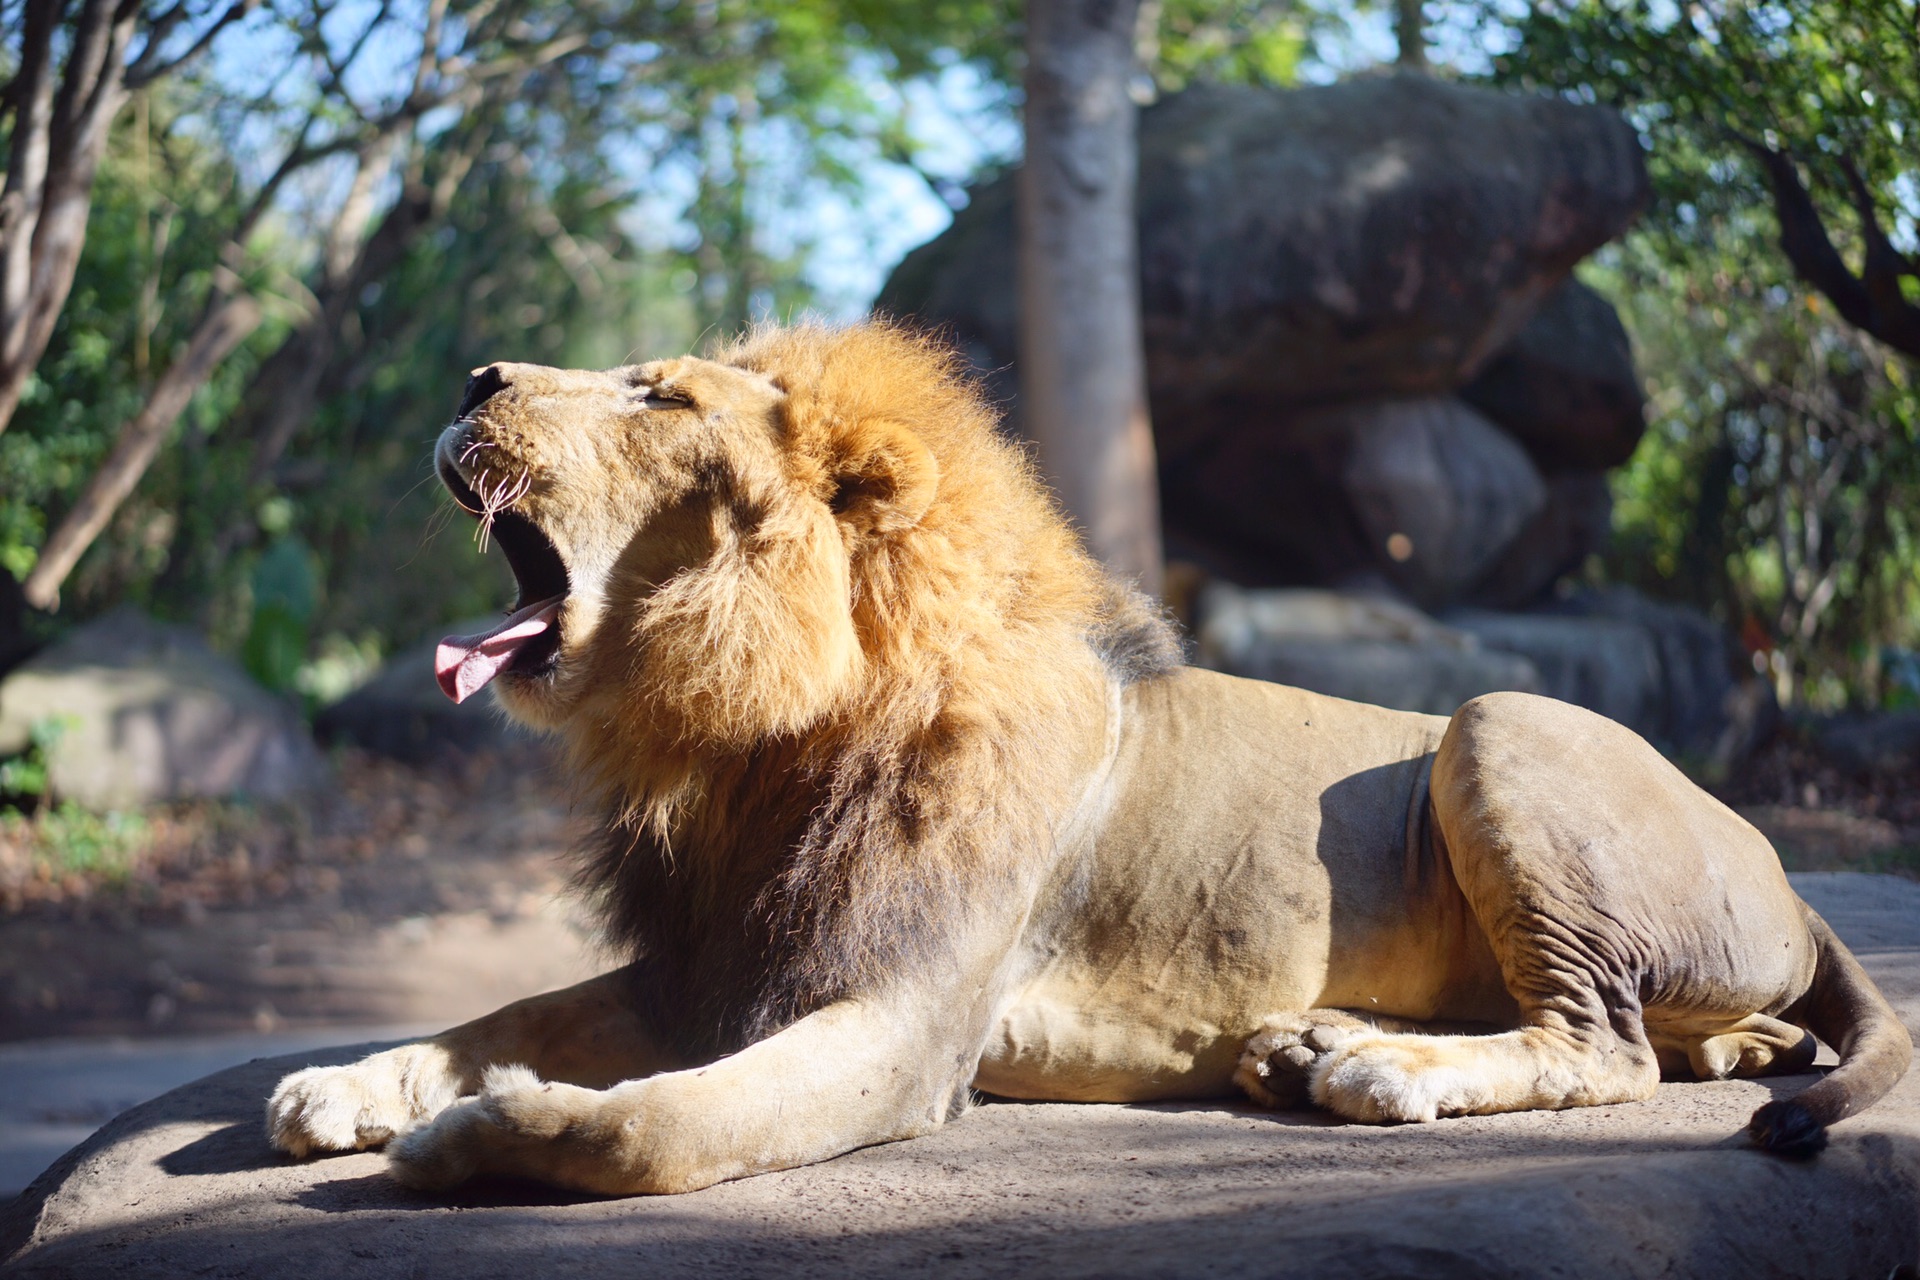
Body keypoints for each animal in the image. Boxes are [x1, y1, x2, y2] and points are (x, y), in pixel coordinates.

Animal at [270, 322, 1904, 1205]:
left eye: (657, 397)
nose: (474, 374)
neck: (750, 746)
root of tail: (1779, 866)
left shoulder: (904, 1024)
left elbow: (658, 1127)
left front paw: (488, 1131)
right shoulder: (711, 962)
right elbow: (503, 1011)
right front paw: (351, 1081)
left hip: (1503, 720)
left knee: (1605, 1044)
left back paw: (1379, 1066)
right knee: (1689, 1034)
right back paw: (1314, 1046)